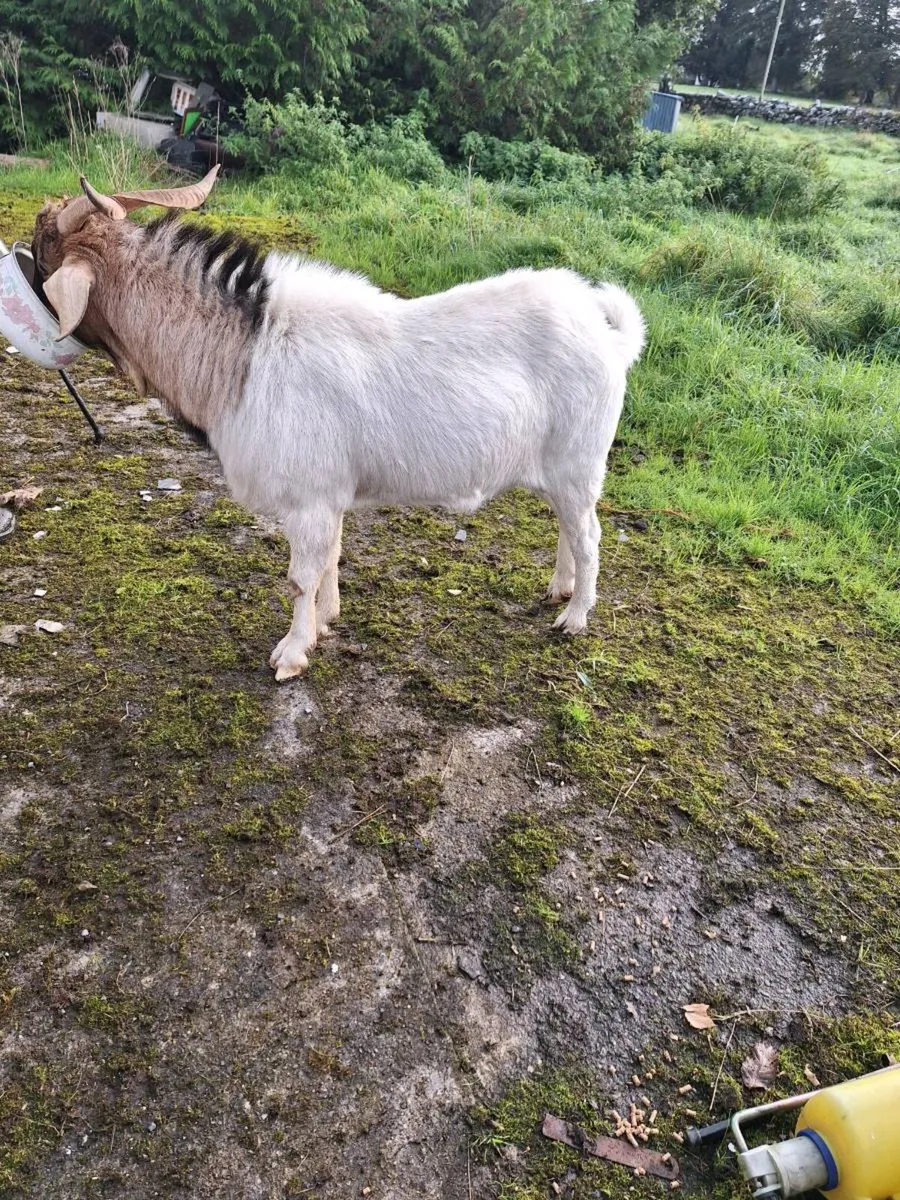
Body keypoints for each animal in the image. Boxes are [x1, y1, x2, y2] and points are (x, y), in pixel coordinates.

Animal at [33, 167, 645, 681]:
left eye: (43, 251)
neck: (247, 352)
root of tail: (609, 335)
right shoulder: (329, 496)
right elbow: (329, 561)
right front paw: (326, 620)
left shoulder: (308, 499)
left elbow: (301, 575)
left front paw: (291, 653)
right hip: (558, 471)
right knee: (568, 527)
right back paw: (559, 589)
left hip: (579, 462)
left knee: (589, 533)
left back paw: (574, 617)